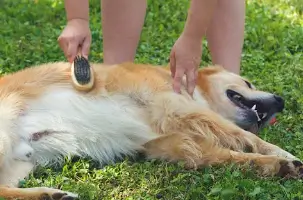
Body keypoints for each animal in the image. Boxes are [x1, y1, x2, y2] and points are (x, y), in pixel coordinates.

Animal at [0, 61, 303, 199]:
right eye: (248, 83)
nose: (281, 101)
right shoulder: (174, 105)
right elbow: (245, 137)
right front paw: (283, 154)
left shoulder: (171, 143)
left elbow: (233, 156)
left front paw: (276, 165)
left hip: (21, 162)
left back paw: (48, 194)